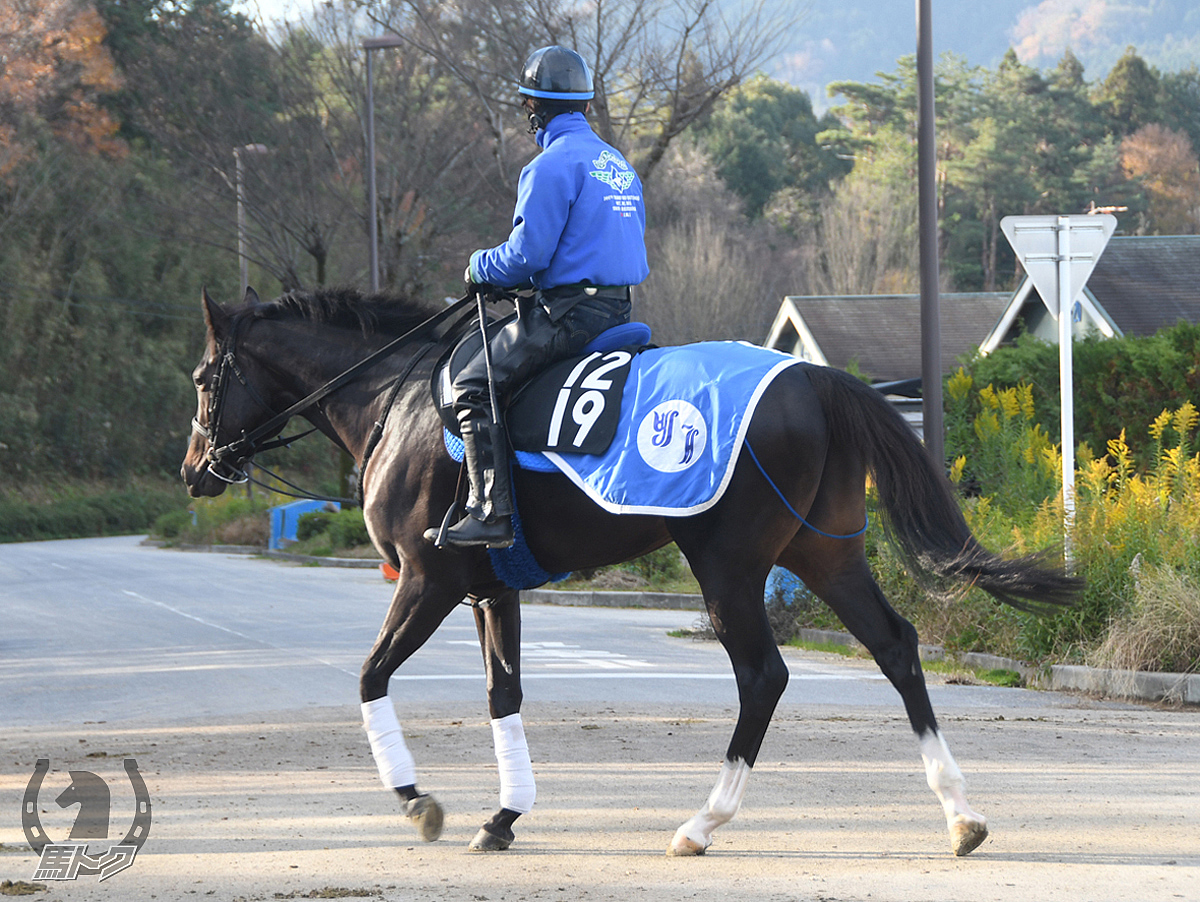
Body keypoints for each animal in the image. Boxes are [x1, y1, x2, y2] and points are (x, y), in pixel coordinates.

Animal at [177, 289, 1080, 858]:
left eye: (202, 378)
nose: (193, 470)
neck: (396, 401)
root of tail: (812, 374)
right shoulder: (491, 590)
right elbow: (503, 696)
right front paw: (503, 816)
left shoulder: (427, 582)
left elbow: (370, 677)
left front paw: (419, 802)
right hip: (825, 554)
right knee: (895, 646)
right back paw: (960, 814)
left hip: (729, 566)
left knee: (764, 675)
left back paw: (703, 822)